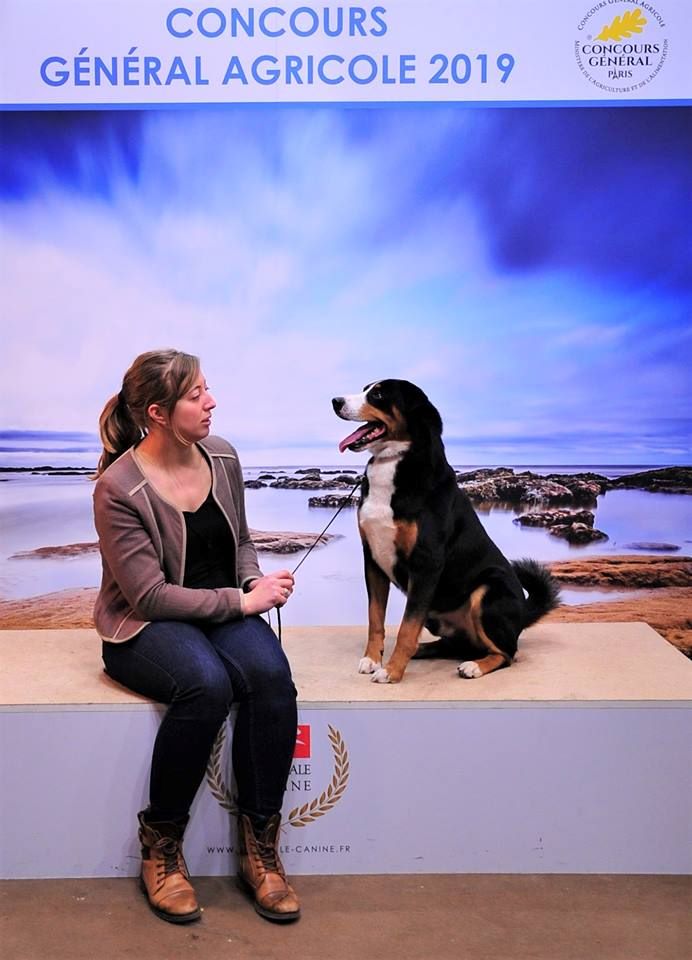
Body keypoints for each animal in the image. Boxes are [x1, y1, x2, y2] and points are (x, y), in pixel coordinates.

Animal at [332, 376, 564, 684]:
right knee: (457, 644)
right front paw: (372, 659)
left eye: (378, 394)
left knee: (507, 653)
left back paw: (474, 666)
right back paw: (423, 650)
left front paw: (392, 672)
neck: (392, 465)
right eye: (365, 388)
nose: (335, 401)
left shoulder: (426, 563)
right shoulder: (373, 558)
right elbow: (375, 618)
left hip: (487, 590)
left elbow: (407, 627)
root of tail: (523, 613)